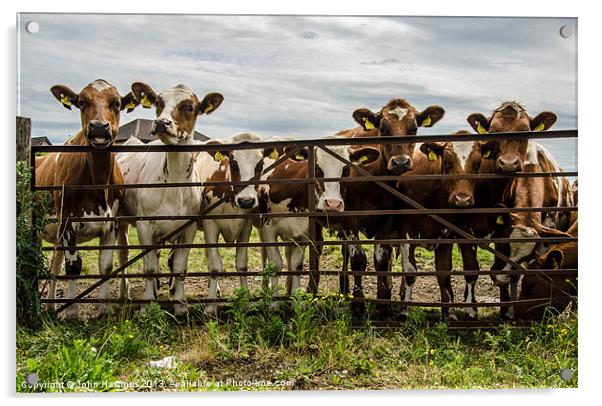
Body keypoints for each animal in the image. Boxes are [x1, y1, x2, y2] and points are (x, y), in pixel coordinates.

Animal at [37, 78, 139, 318]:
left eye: (117, 103)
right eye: (81, 102)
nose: (99, 127)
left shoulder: (111, 224)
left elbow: (106, 266)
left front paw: (103, 308)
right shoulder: (67, 222)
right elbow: (73, 267)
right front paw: (73, 312)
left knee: (54, 264)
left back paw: (51, 306)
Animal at [115, 83, 223, 318]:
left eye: (189, 106)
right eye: (158, 102)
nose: (161, 122)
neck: (174, 182)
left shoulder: (188, 228)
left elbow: (180, 266)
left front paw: (180, 303)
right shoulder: (144, 225)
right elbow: (149, 268)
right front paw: (147, 305)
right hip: (120, 221)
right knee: (124, 254)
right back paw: (125, 293)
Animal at [256, 136, 380, 298]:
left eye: (346, 170)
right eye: (317, 169)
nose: (333, 204)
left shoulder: (304, 232)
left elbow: (298, 264)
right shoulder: (269, 228)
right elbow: (276, 263)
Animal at [332, 99, 446, 318]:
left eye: (413, 129)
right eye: (383, 129)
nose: (400, 162)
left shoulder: (387, 220)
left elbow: (382, 261)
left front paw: (383, 305)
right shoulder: (350, 219)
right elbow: (358, 260)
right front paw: (358, 305)